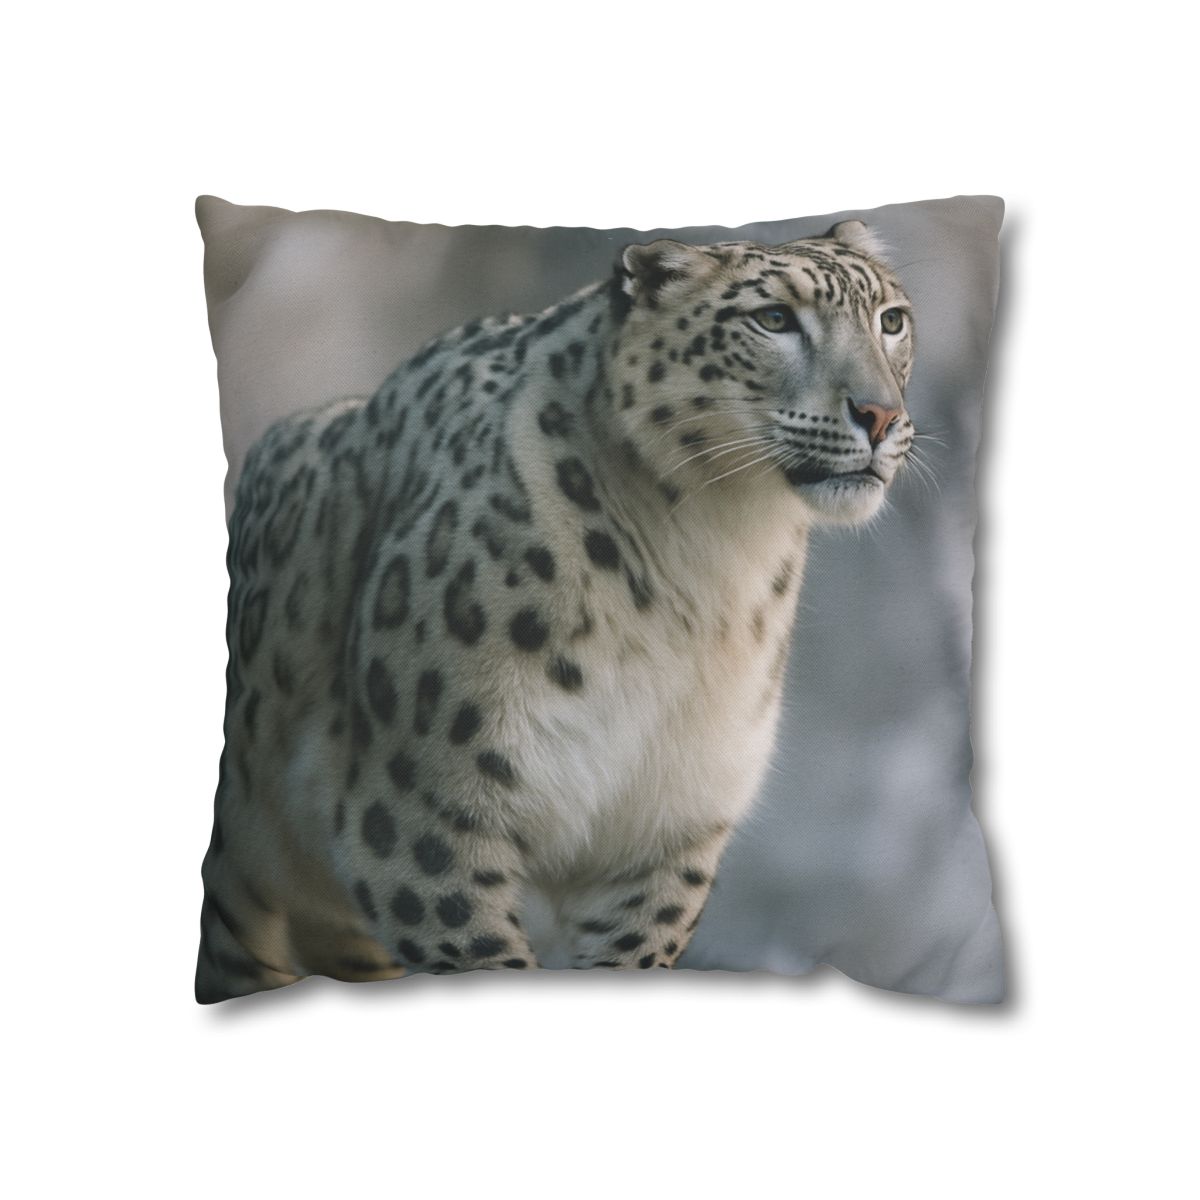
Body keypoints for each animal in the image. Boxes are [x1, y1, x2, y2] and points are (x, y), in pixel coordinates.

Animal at [197, 218, 916, 1001]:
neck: (713, 561)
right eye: (774, 319)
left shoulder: (666, 830)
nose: (880, 415)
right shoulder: (421, 818)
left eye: (892, 321)